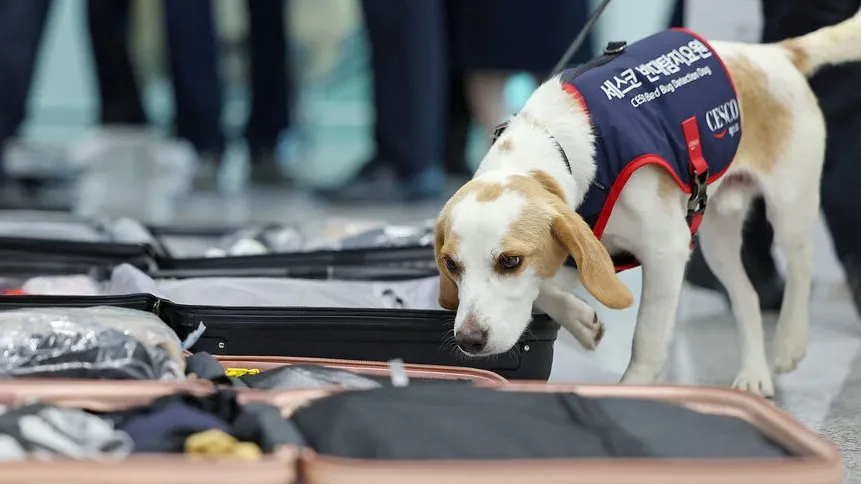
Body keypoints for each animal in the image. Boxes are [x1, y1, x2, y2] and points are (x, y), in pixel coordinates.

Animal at [434, 12, 860, 398]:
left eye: (510, 262)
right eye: (451, 265)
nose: (468, 340)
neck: (556, 143)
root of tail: (773, 53)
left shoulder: (666, 252)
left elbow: (648, 341)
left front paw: (633, 388)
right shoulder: (577, 249)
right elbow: (547, 290)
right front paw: (582, 321)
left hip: (789, 206)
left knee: (802, 266)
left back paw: (790, 341)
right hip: (716, 240)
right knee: (748, 298)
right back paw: (755, 375)